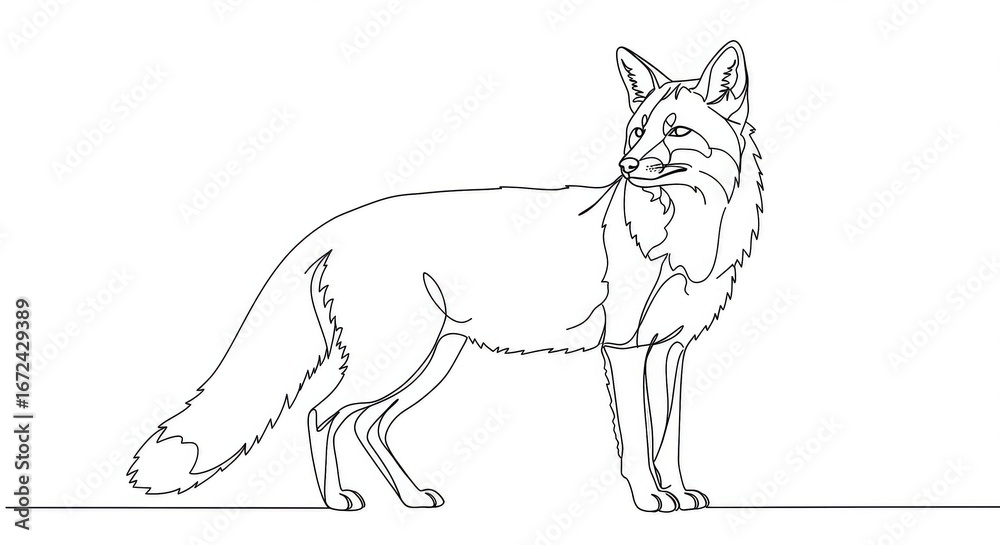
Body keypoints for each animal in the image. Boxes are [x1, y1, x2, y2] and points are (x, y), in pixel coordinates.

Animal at [129, 40, 762, 513]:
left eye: (676, 131)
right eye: (638, 132)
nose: (627, 167)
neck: (686, 239)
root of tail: (335, 226)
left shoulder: (671, 351)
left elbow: (668, 438)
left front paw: (679, 493)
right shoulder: (624, 349)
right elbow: (636, 440)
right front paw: (649, 500)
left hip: (428, 363)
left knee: (366, 427)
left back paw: (410, 498)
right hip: (397, 364)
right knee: (320, 415)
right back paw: (337, 501)